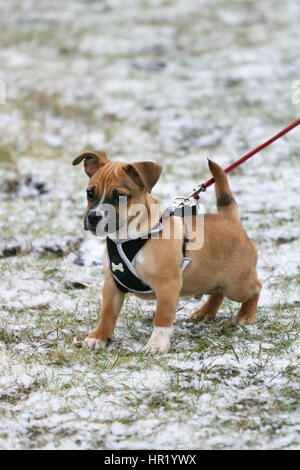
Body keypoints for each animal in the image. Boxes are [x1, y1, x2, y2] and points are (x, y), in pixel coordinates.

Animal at [72, 152, 260, 354]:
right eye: (90, 193)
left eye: (120, 196)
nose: (94, 217)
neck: (127, 237)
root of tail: (230, 218)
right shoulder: (112, 286)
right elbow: (107, 314)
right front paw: (98, 337)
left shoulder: (167, 285)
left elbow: (162, 317)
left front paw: (156, 344)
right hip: (214, 279)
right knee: (217, 293)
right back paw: (204, 313)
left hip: (236, 285)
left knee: (256, 288)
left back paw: (245, 316)